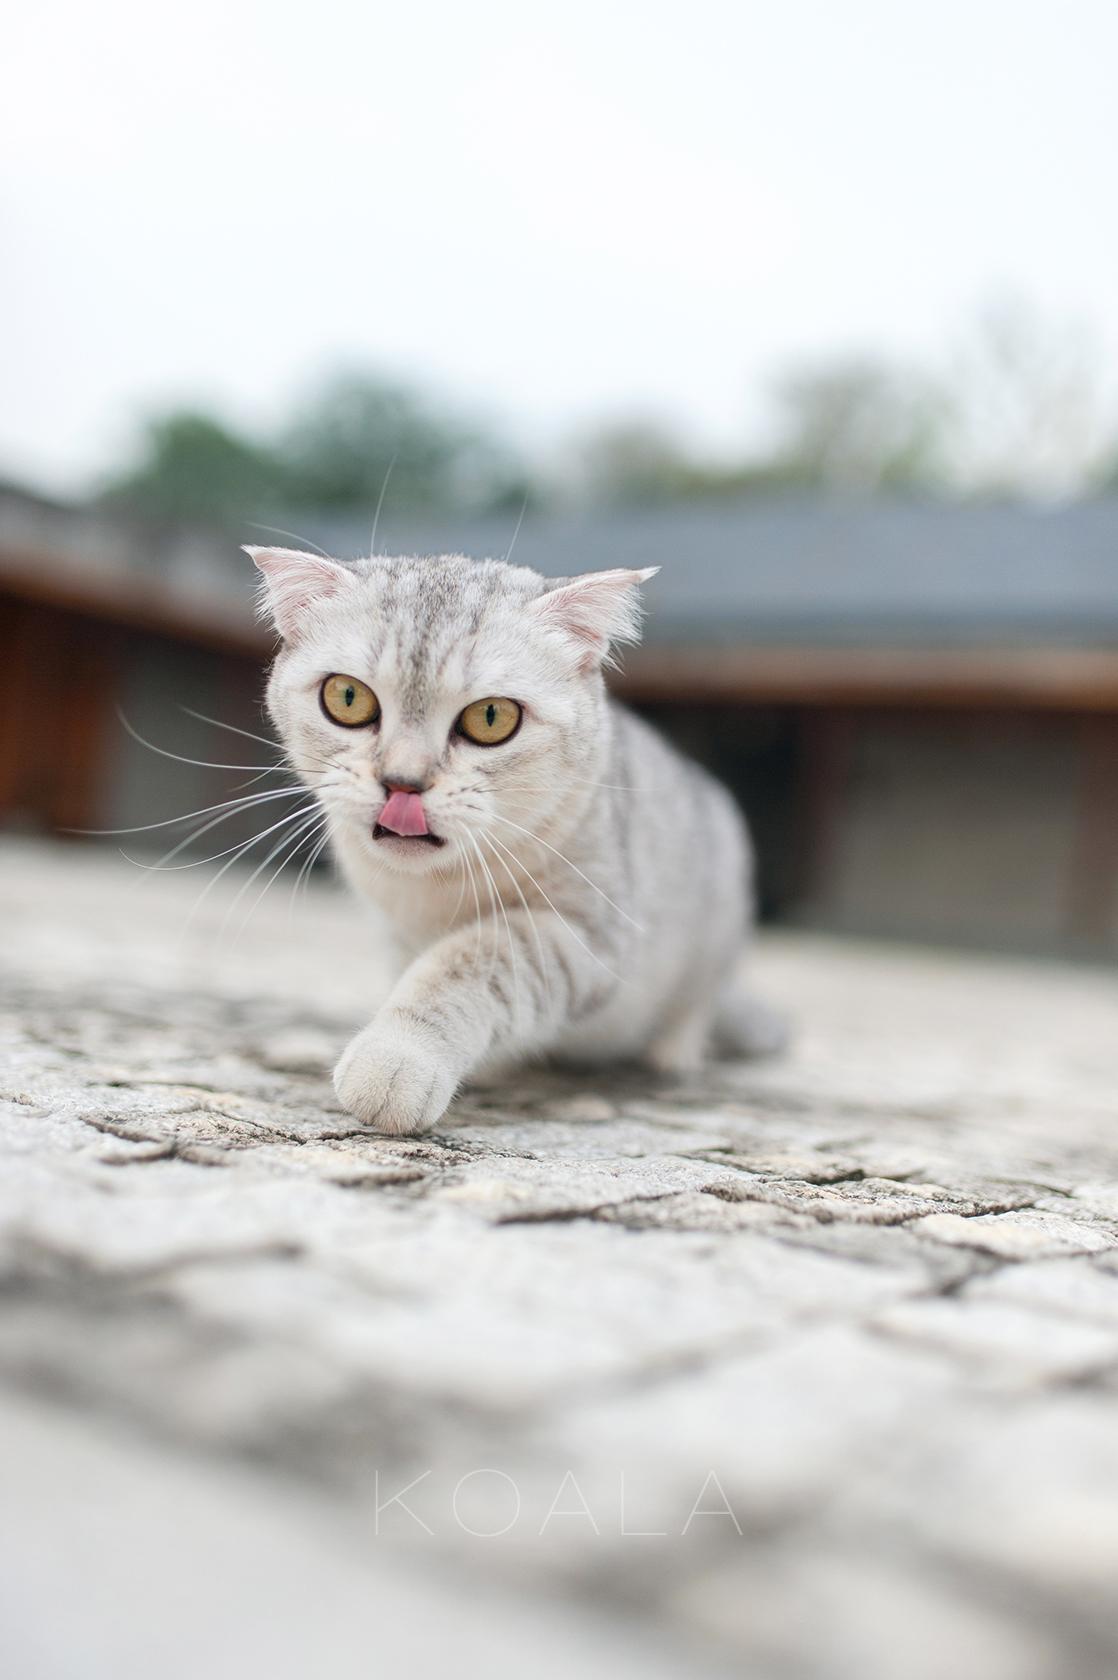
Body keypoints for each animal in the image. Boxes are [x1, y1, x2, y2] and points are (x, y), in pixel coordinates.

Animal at [249, 545, 785, 1134]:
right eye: (347, 697)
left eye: (491, 717)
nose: (402, 784)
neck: (431, 893)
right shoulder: (399, 935)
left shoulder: (583, 935)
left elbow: (461, 967)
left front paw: (396, 1059)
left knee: (697, 1003)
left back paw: (674, 1053)